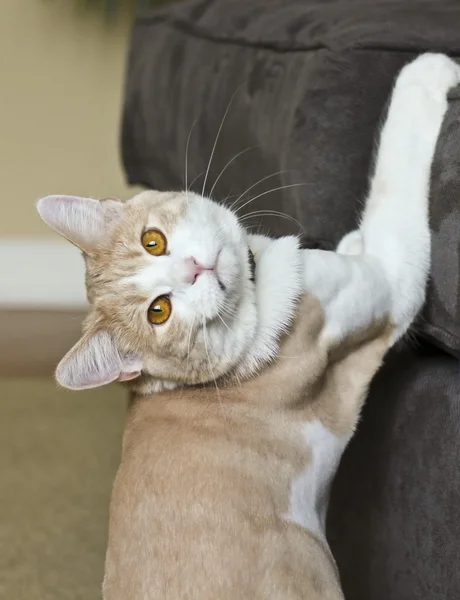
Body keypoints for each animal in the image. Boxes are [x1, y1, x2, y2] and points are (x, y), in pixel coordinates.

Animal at [36, 54, 460, 596]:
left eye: (153, 241)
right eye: (159, 311)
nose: (196, 268)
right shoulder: (390, 276)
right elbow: (394, 170)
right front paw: (429, 70)